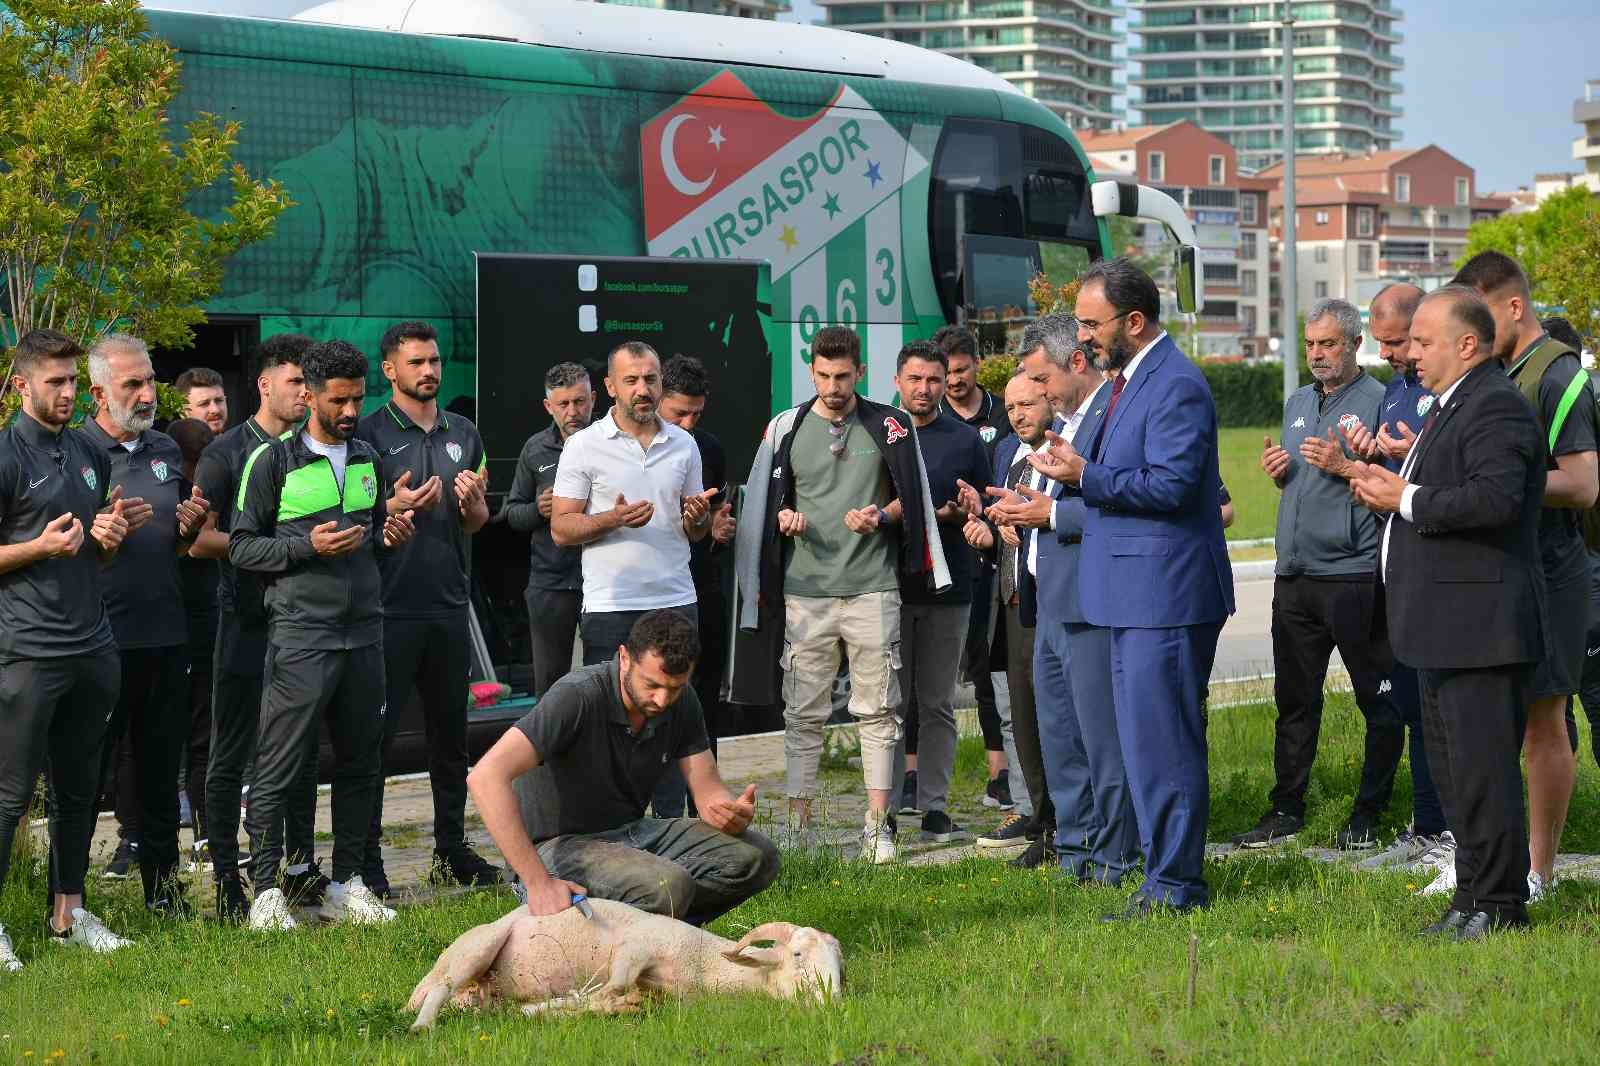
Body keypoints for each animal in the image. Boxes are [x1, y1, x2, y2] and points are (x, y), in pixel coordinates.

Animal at [406, 889, 844, 1024]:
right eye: (798, 954)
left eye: (841, 964)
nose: (834, 1001)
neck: (703, 965)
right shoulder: (637, 946)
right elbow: (612, 984)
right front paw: (557, 1005)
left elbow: (618, 998)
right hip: (481, 944)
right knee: (443, 986)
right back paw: (422, 1025)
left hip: (479, 989)